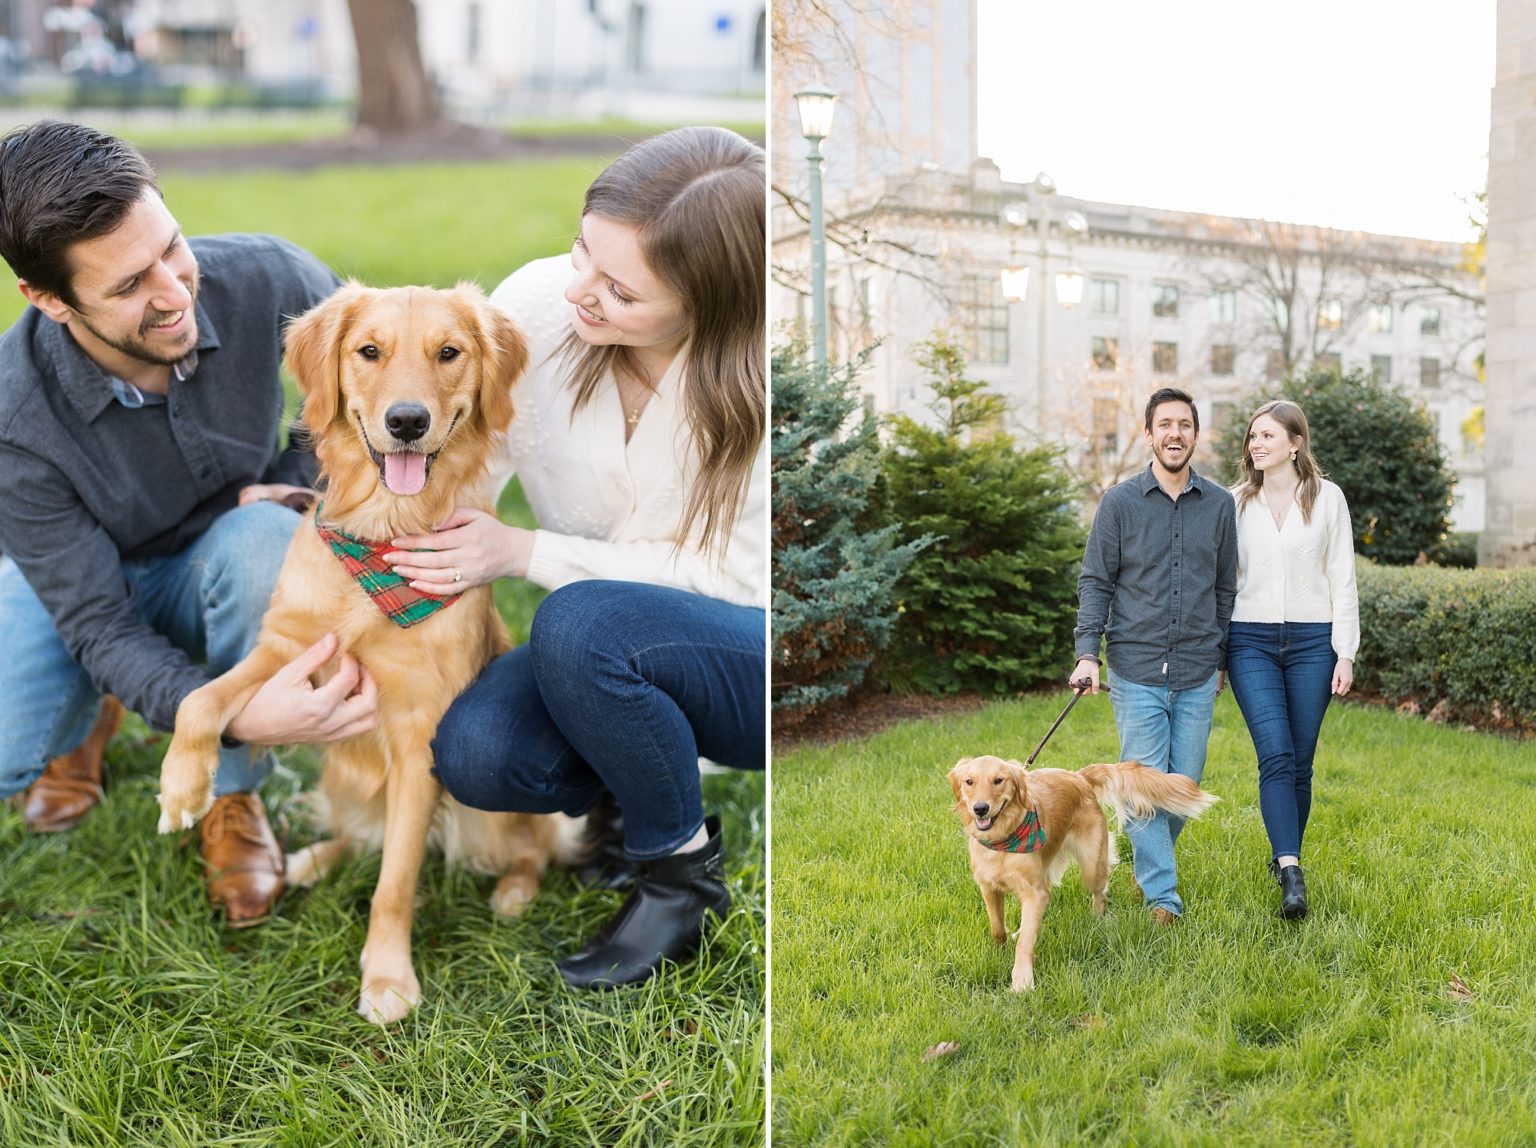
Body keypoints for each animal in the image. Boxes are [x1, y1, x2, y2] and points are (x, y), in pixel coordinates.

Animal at [157, 285, 577, 1026]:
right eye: (369, 351)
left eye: (449, 352)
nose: (406, 421)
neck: (382, 535)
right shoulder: (288, 646)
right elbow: (201, 698)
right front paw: (182, 787)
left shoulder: (420, 736)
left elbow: (396, 882)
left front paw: (387, 978)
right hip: (342, 774)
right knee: (361, 833)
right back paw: (312, 859)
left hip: (489, 811)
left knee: (534, 846)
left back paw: (514, 891)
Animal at [940, 759, 1216, 989]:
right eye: (969, 781)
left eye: (999, 780)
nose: (980, 809)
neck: (1003, 840)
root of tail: (1078, 776)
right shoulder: (988, 887)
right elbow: (998, 926)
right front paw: (1001, 947)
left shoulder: (1034, 892)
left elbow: (1026, 940)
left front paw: (1022, 980)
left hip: (1092, 864)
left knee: (1100, 894)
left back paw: (1097, 919)